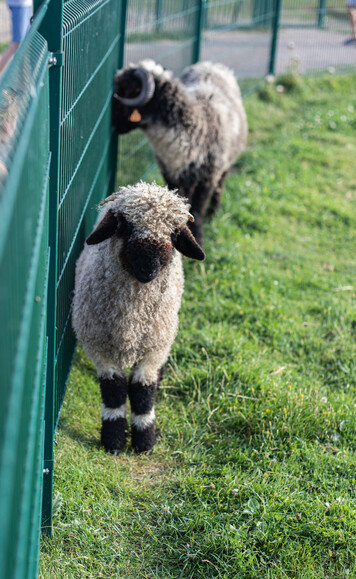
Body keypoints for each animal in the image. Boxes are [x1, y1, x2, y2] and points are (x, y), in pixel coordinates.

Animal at [71, 181, 206, 454]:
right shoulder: (101, 349)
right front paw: (113, 441)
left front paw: (145, 441)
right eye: (125, 227)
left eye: (174, 234)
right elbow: (113, 392)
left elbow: (143, 393)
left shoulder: (152, 351)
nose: (149, 268)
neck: (132, 318)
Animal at [112, 60, 246, 245]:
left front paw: (197, 240)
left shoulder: (207, 179)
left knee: (220, 186)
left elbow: (196, 212)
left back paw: (214, 213)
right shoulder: (170, 174)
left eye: (125, 90)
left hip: (224, 165)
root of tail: (210, 64)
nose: (113, 124)